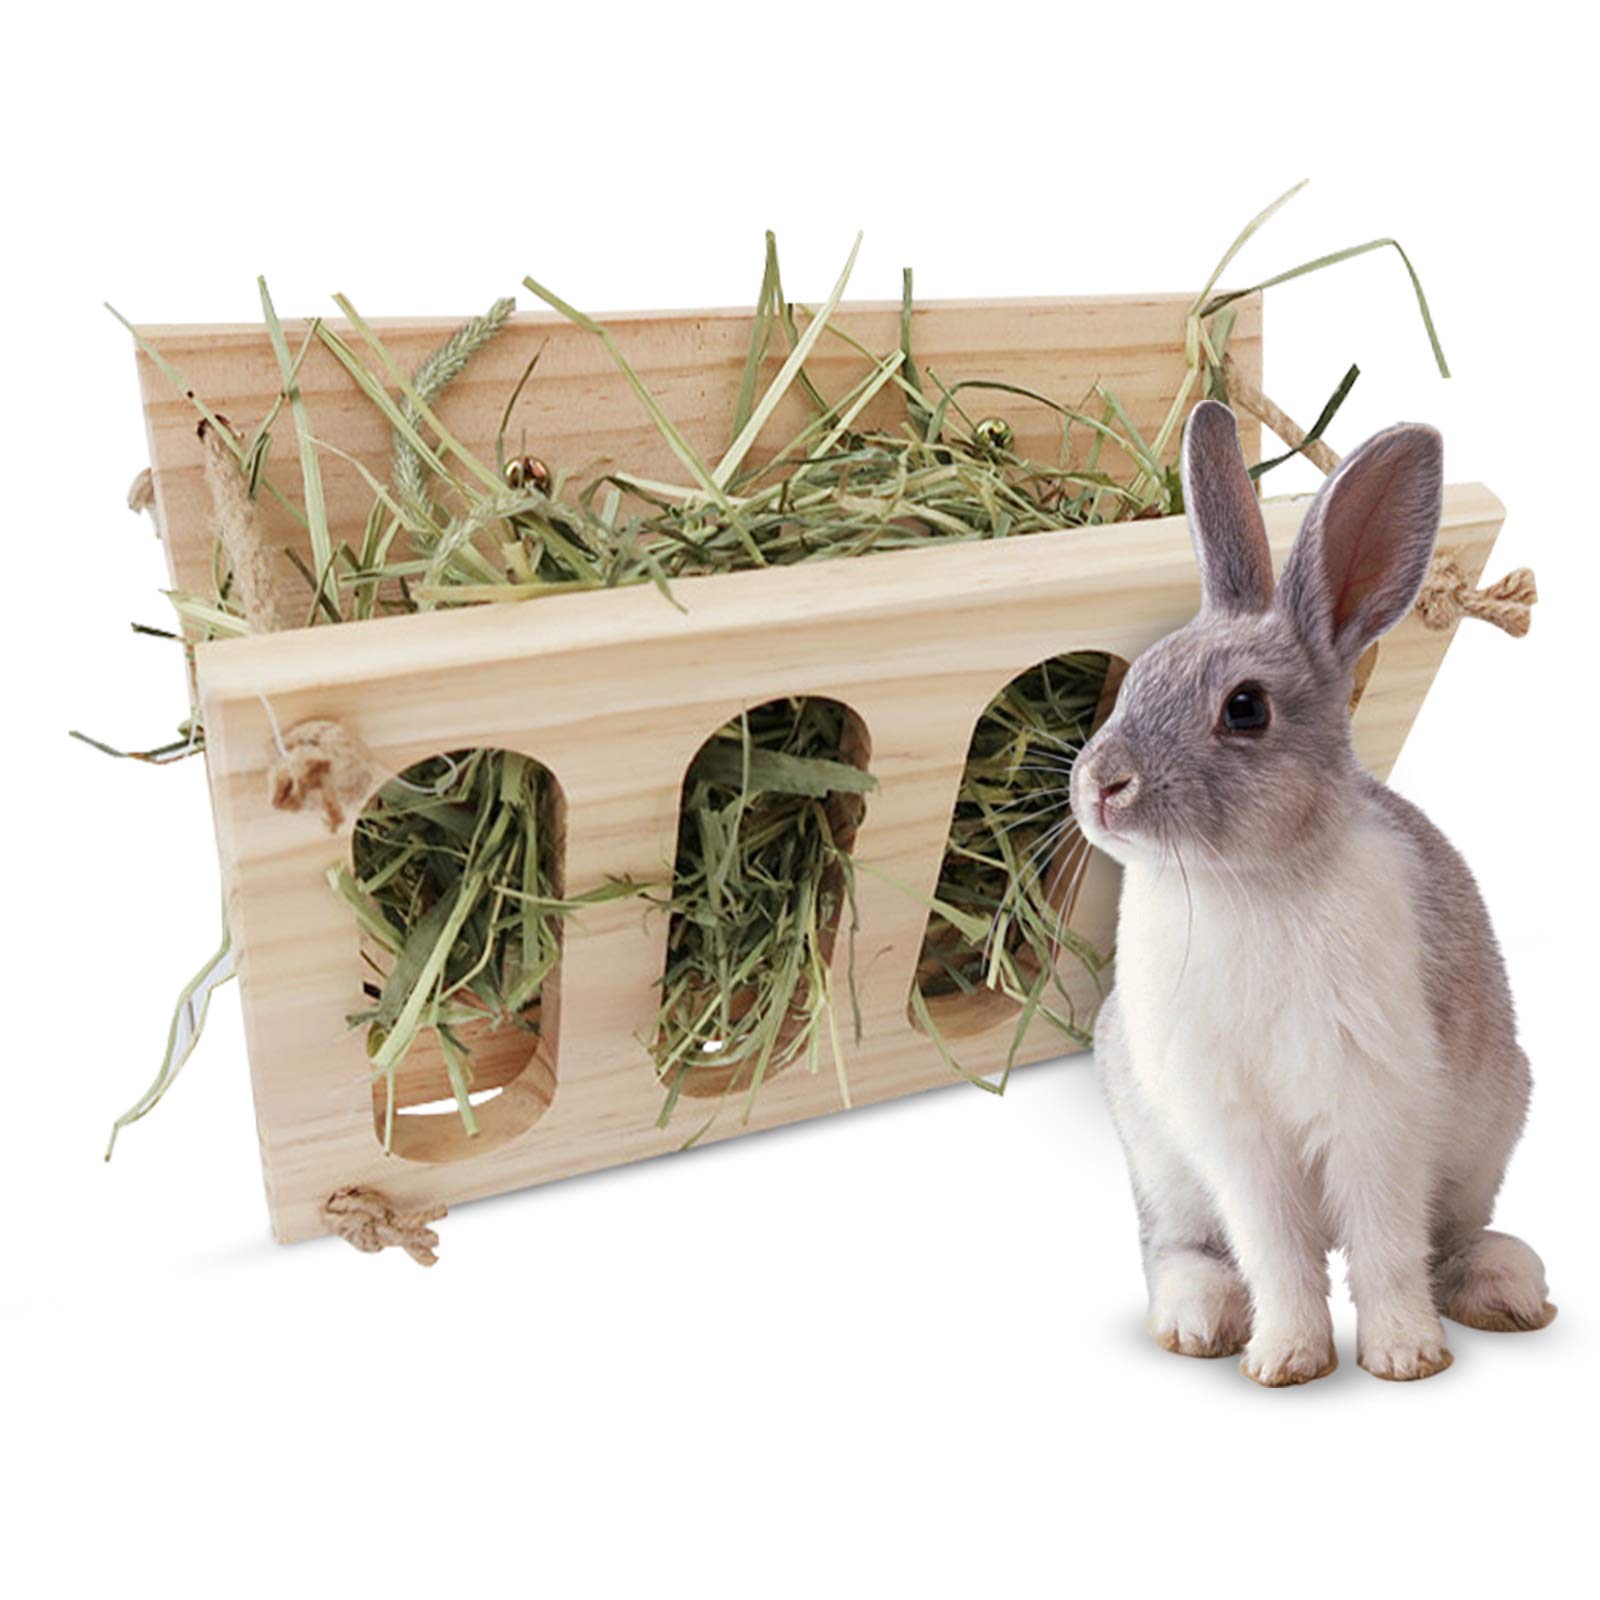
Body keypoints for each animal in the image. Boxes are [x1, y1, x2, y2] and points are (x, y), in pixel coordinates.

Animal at [1069, 399, 1555, 1385]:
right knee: (1179, 1248)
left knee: (1449, 1238)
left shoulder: (1378, 1110)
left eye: (1245, 708)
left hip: (1487, 1135)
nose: (1100, 784)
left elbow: (1384, 1244)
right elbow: (1276, 1249)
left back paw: (1507, 1290)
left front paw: (1406, 1358)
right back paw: (1198, 1323)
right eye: (1137, 676)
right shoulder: (1234, 1136)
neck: (1248, 880)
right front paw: (1286, 1361)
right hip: (1161, 1162)